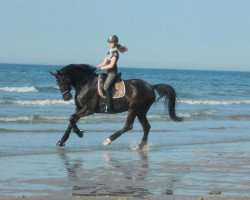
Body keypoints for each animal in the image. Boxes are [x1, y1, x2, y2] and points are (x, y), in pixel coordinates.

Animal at [49, 63, 182, 149]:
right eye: (57, 83)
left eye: (64, 80)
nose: (66, 98)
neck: (86, 83)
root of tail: (151, 86)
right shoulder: (79, 109)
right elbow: (71, 121)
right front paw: (62, 141)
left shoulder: (88, 110)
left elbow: (71, 118)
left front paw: (79, 133)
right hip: (141, 111)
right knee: (146, 127)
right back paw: (141, 146)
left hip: (134, 108)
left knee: (128, 126)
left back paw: (108, 140)